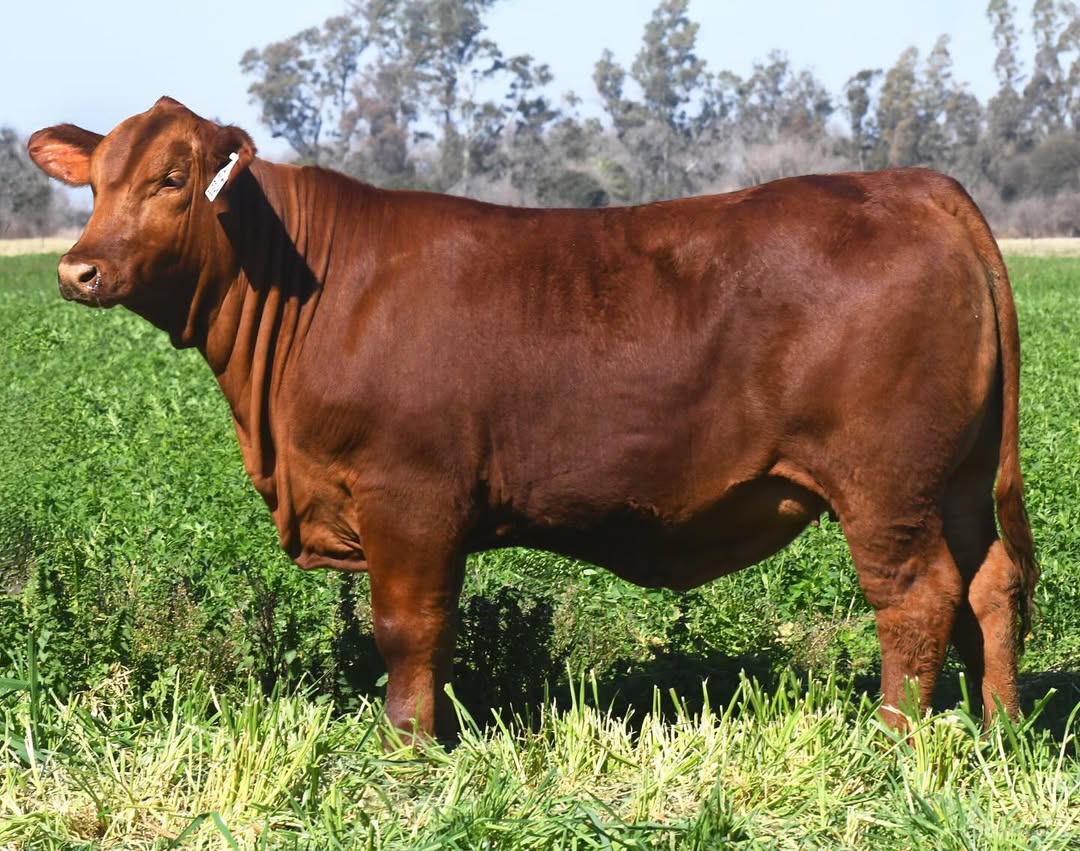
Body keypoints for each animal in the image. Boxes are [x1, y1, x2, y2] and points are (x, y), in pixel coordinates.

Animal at [28, 97, 1037, 739]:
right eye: (96, 183)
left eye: (171, 178)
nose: (77, 268)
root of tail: (915, 184)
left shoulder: (411, 497)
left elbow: (410, 627)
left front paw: (409, 747)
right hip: (957, 479)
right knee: (991, 586)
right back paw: (1001, 729)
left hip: (886, 487)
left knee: (917, 596)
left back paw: (897, 737)